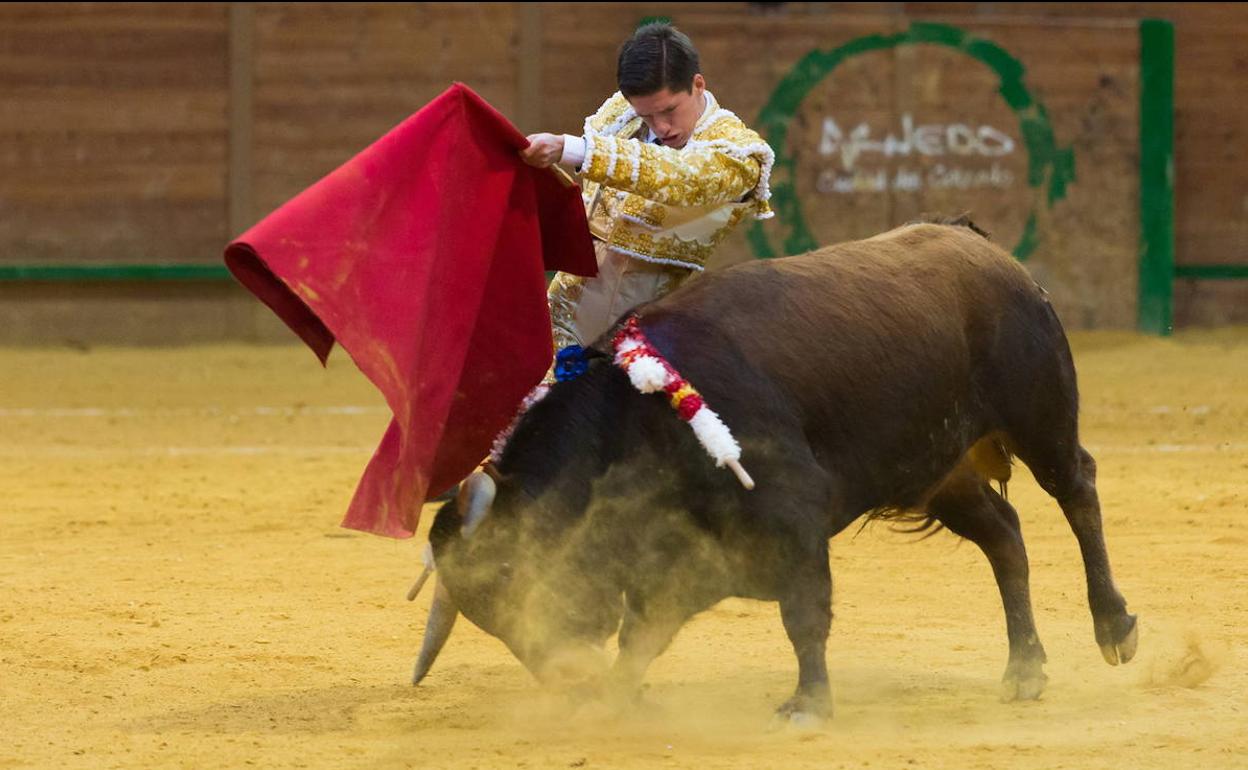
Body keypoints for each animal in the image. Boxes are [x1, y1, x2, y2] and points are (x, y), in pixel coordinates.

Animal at [404, 217, 1138, 718]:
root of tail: (982, 248)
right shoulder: (684, 551)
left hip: (1039, 417)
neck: (639, 416)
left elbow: (803, 612)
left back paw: (1114, 628)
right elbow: (644, 633)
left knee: (1078, 490)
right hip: (940, 470)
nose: (566, 678)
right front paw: (615, 698)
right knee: (1006, 535)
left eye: (506, 572)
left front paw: (808, 704)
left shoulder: (794, 514)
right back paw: (1025, 669)